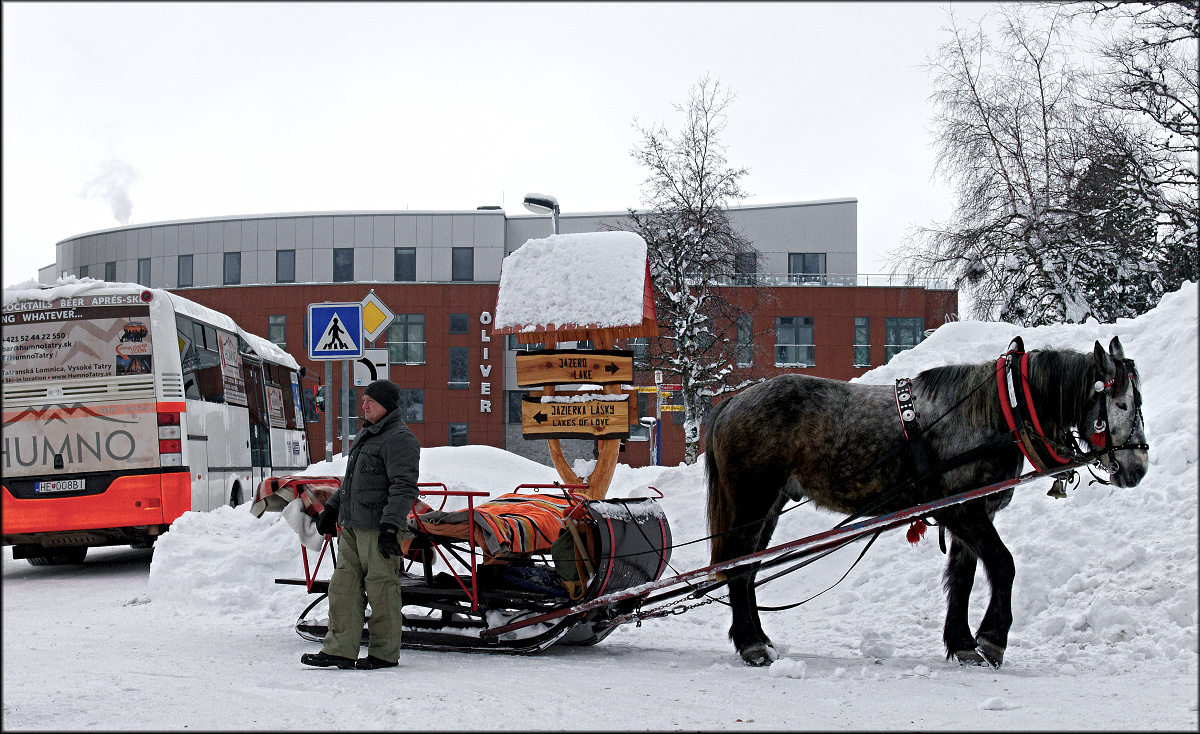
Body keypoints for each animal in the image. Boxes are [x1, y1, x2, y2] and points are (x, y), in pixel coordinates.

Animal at [705, 336, 1148, 667]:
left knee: (748, 567)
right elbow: (1002, 564)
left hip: (770, 507)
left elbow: (963, 577)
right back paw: (752, 645)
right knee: (739, 567)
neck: (1000, 412)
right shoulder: (961, 509)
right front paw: (992, 639)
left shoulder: (972, 512)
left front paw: (963, 643)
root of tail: (733, 402)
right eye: (1122, 404)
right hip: (752, 501)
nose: (1138, 467)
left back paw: (760, 638)